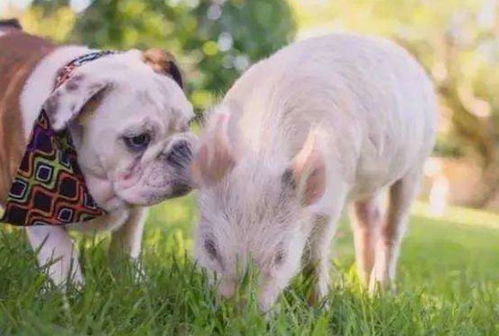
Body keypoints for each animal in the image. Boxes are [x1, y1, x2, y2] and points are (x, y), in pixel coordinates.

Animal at [191, 32, 438, 312]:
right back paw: (363, 286)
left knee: (392, 227)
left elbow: (314, 256)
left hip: (418, 161)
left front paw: (319, 309)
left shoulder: (335, 190)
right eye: (210, 246)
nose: (237, 311)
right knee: (368, 219)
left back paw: (379, 292)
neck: (261, 155)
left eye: (281, 255)